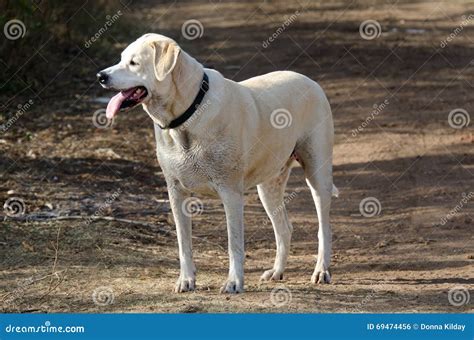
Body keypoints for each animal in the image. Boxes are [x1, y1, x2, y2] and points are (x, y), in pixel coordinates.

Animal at [98, 35, 338, 294]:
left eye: (133, 63)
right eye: (121, 58)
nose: (101, 76)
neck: (187, 114)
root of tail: (310, 81)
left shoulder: (230, 193)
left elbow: (234, 244)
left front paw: (234, 282)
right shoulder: (176, 193)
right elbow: (183, 242)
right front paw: (186, 280)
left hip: (318, 175)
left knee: (324, 227)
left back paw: (321, 271)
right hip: (268, 186)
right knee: (284, 228)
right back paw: (277, 271)